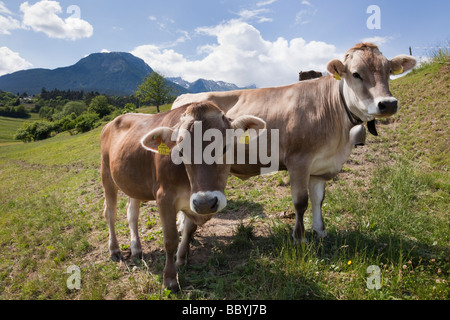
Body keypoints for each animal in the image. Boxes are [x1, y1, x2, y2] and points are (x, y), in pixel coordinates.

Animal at [100, 102, 266, 290]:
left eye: (226, 147)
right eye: (180, 151)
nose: (206, 203)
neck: (187, 182)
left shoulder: (192, 201)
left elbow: (189, 228)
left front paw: (181, 258)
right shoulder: (164, 197)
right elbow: (170, 239)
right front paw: (170, 279)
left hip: (133, 184)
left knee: (132, 213)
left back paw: (136, 249)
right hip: (106, 174)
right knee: (110, 213)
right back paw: (114, 250)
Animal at [171, 42, 414, 242]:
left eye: (389, 71)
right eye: (356, 74)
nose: (388, 103)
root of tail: (183, 98)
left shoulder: (321, 167)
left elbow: (318, 199)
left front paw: (320, 231)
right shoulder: (298, 161)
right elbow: (301, 202)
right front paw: (299, 238)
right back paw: (183, 227)